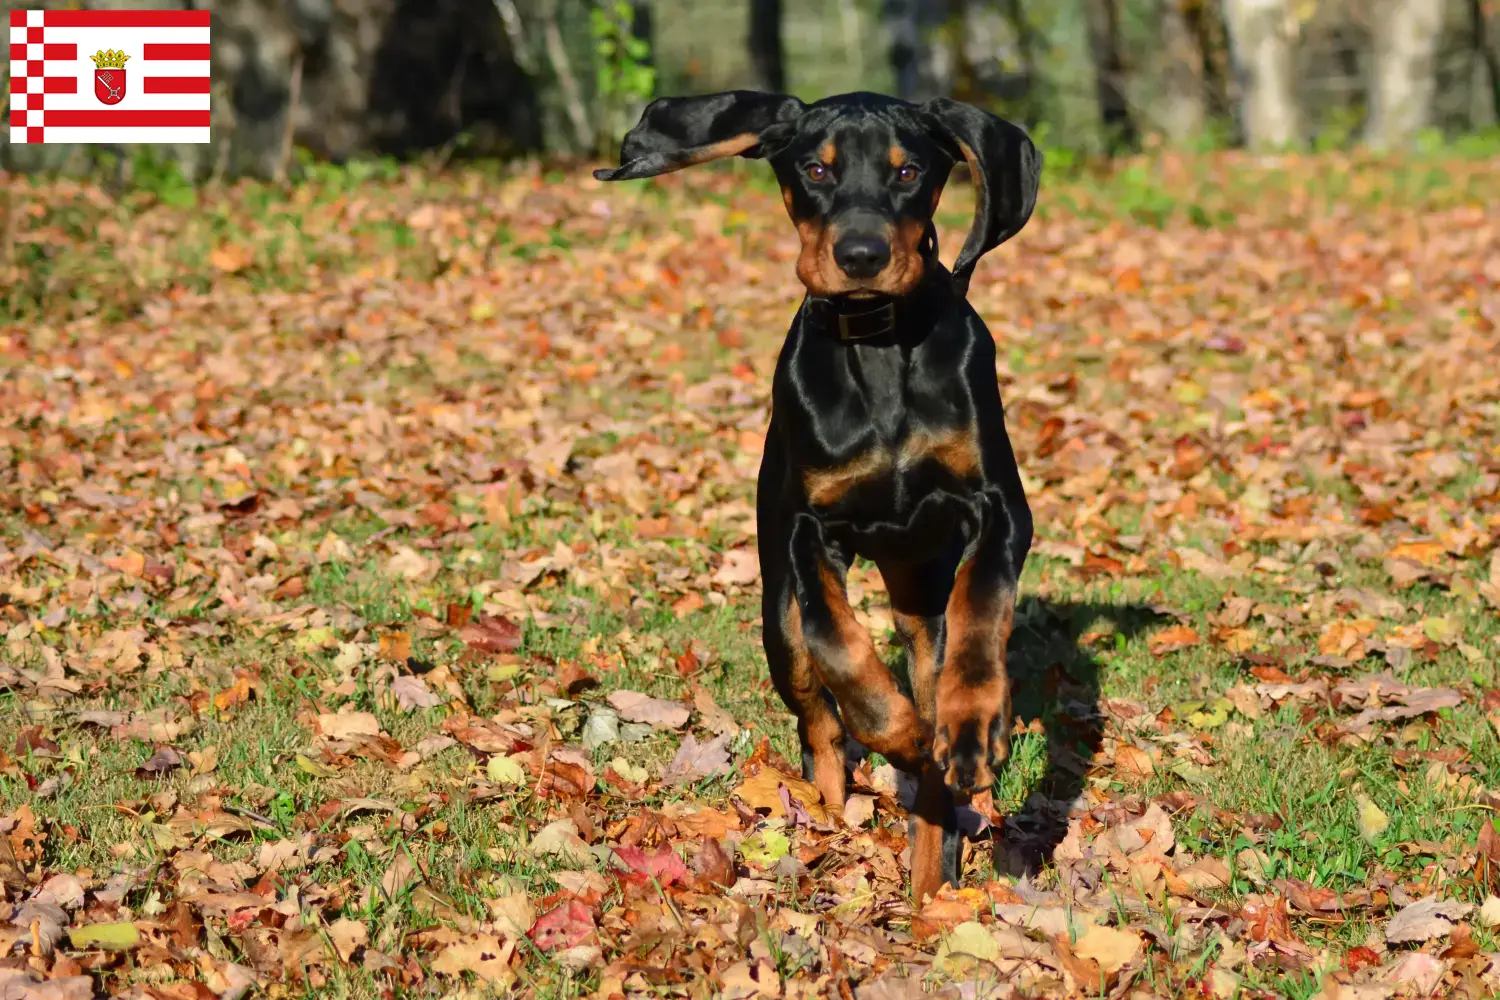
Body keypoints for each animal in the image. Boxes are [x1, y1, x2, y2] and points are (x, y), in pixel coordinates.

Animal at [591, 89, 1038, 905]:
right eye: (816, 169)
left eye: (908, 170)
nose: (860, 257)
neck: (878, 346)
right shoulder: (807, 528)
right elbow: (839, 648)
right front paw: (897, 732)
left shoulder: (1000, 507)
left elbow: (983, 604)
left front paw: (971, 728)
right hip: (777, 616)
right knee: (816, 715)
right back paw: (839, 801)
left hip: (918, 591)